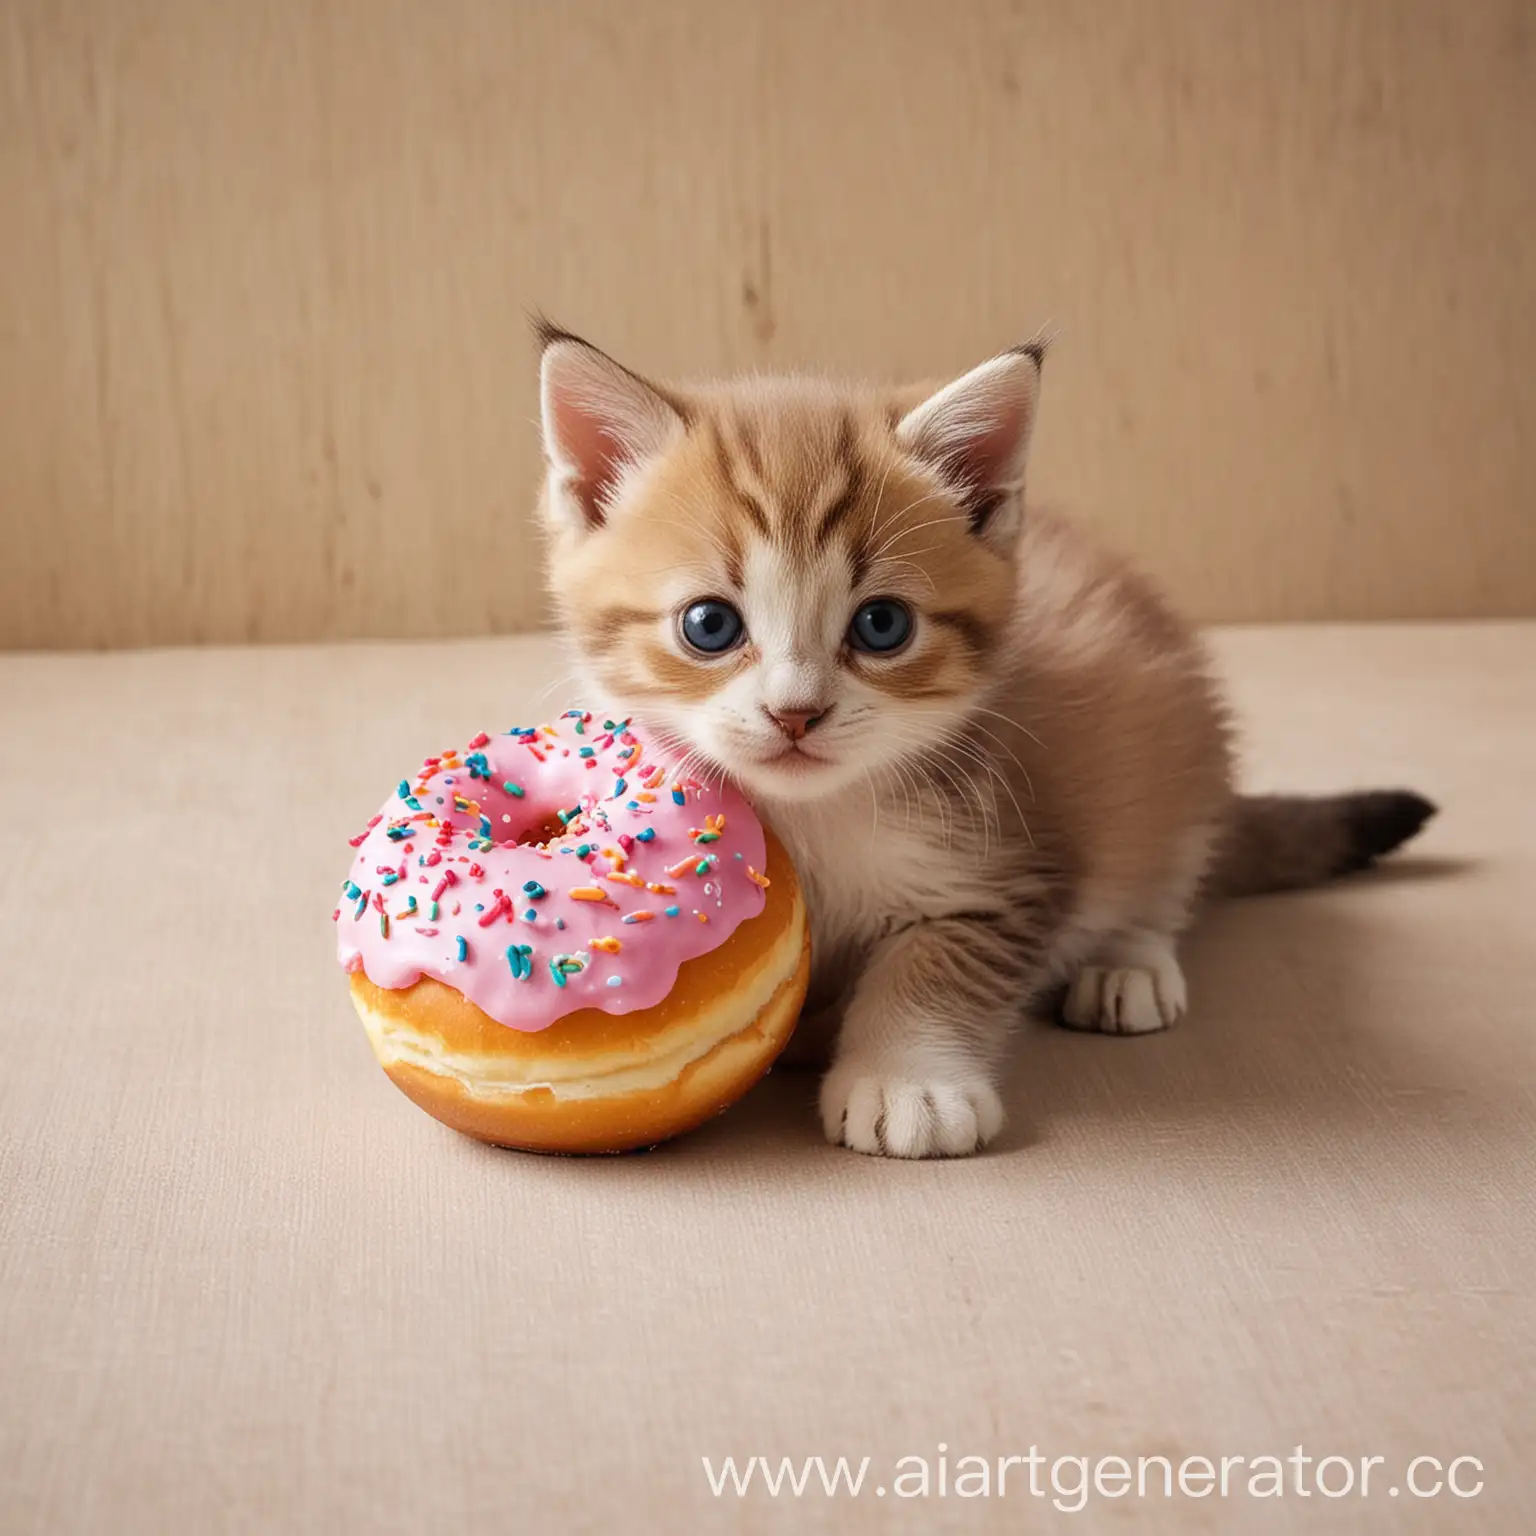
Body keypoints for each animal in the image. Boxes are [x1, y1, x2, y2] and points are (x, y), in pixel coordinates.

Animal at [534, 327, 1431, 1161]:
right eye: (709, 625)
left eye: (882, 625)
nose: (796, 714)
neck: (816, 817)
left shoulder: (1008, 860)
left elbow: (939, 963)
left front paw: (908, 1081)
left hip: (1175, 738)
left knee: (1166, 861)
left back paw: (1129, 962)